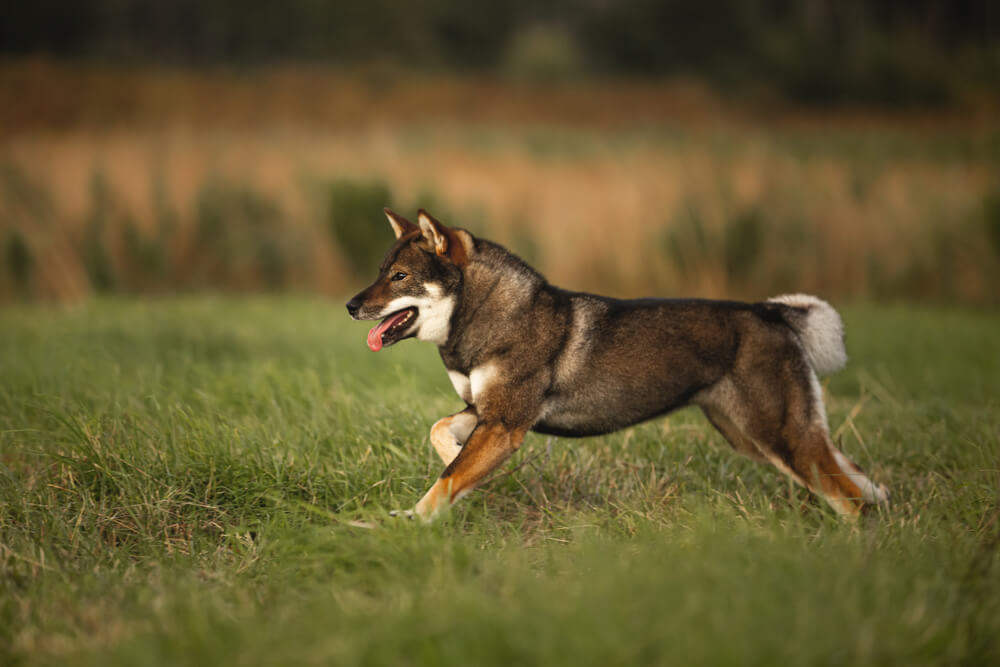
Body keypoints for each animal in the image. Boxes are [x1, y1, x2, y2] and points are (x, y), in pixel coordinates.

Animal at [346, 209, 892, 520]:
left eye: (399, 277)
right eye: (380, 271)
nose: (351, 306)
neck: (487, 314)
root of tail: (770, 313)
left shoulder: (503, 423)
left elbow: (446, 480)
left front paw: (413, 521)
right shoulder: (486, 413)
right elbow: (442, 437)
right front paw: (463, 469)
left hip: (780, 438)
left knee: (850, 500)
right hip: (758, 439)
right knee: (861, 482)